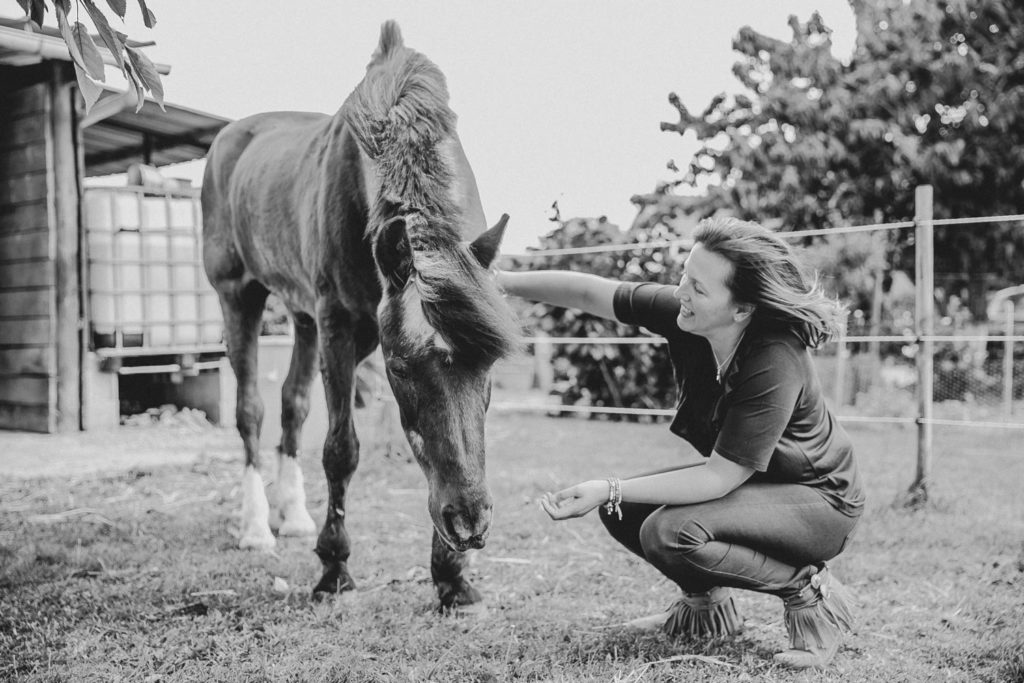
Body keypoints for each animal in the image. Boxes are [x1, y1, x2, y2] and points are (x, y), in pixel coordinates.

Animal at [199, 20, 520, 610]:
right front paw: (334, 568)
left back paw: (292, 515)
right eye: (399, 369)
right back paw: (256, 525)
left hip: (303, 318)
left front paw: (452, 578)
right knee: (251, 410)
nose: (468, 524)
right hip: (240, 298)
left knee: (292, 407)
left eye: (490, 366)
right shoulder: (340, 330)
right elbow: (341, 450)